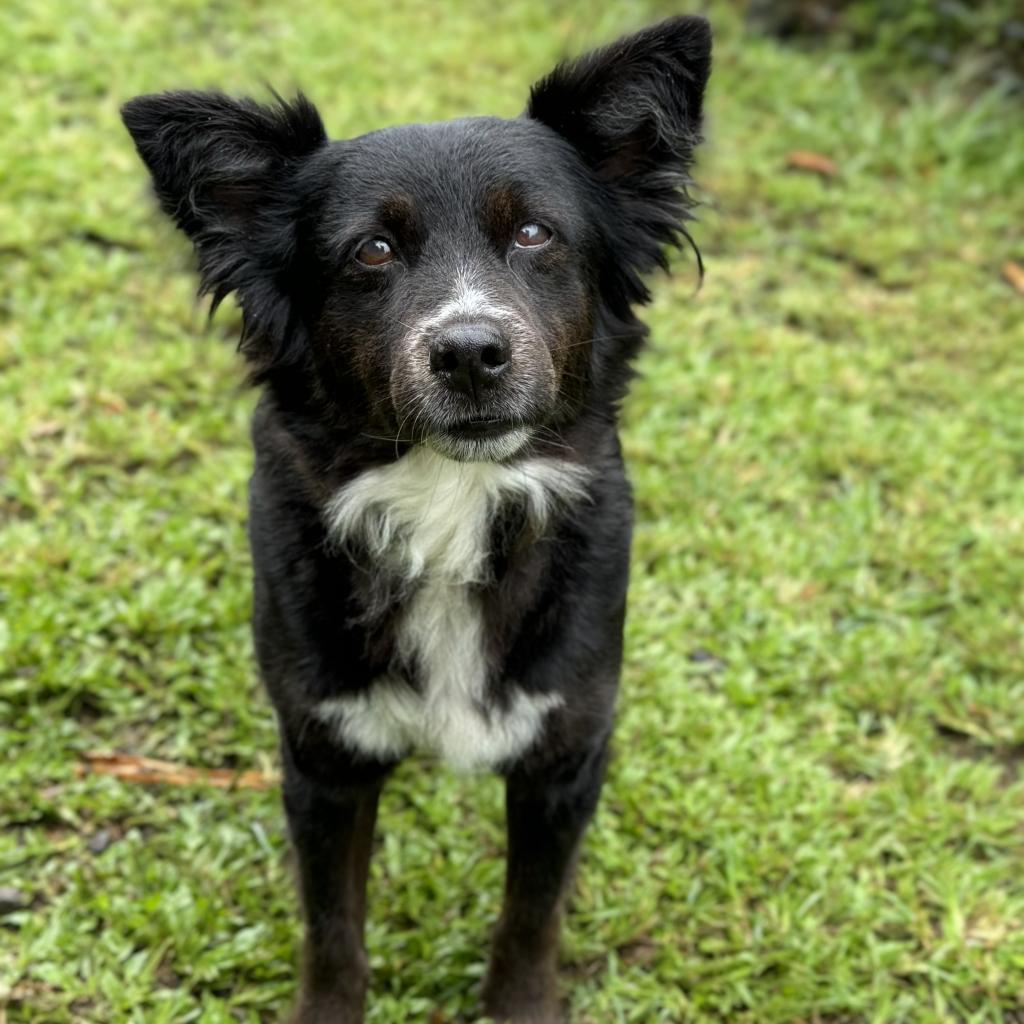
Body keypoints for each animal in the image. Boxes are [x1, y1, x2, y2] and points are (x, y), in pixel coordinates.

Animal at [119, 18, 712, 1024]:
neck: (449, 499)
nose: (470, 352)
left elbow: (530, 919)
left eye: (534, 233)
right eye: (373, 251)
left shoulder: (565, 754)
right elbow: (333, 930)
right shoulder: (323, 756)